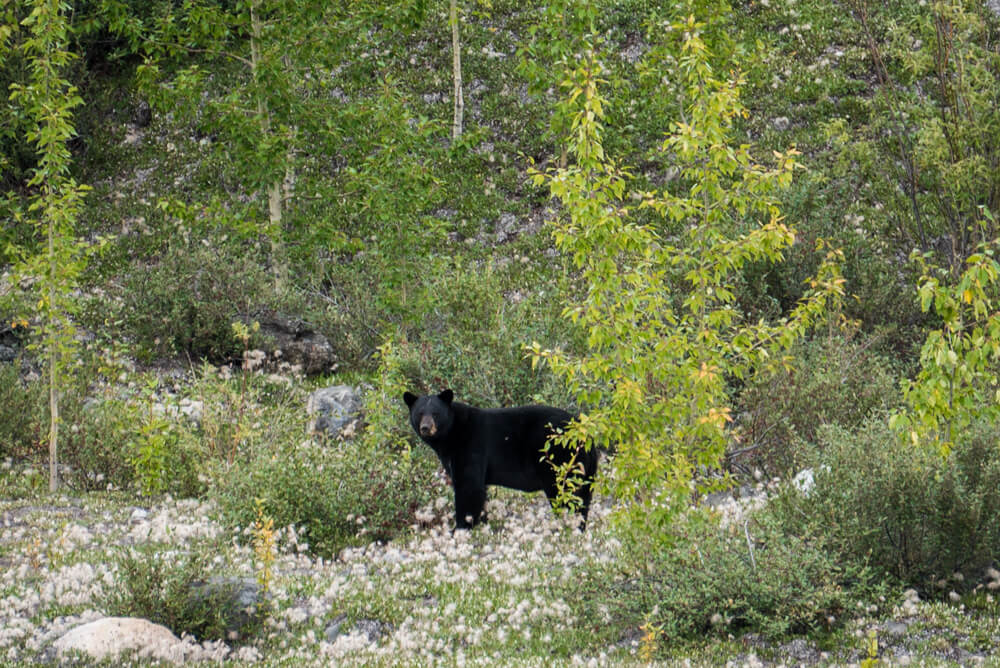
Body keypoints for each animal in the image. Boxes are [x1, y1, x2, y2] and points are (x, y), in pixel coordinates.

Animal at [402, 388, 596, 528]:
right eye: (420, 413)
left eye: (435, 413)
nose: (426, 428)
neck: (452, 433)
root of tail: (585, 435)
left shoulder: (471, 446)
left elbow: (468, 486)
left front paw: (461, 527)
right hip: (586, 469)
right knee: (583, 498)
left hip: (560, 459)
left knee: (566, 494)